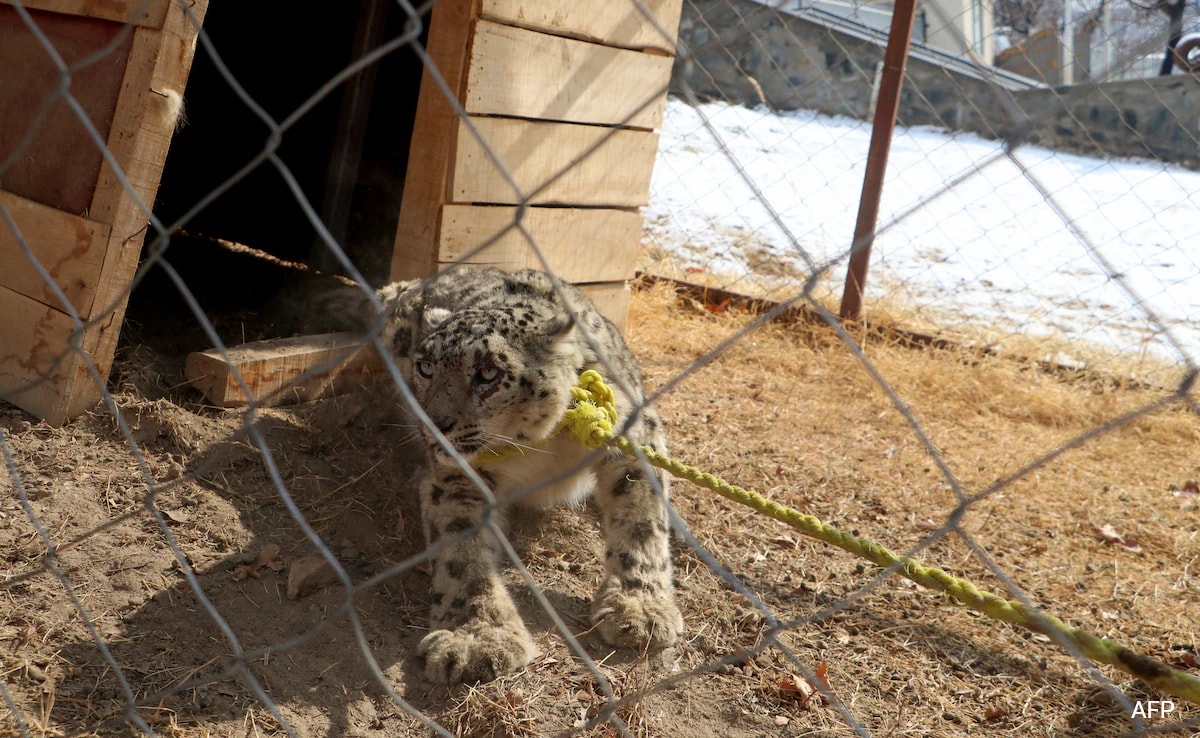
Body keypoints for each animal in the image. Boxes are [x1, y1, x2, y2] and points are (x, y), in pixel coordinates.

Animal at [335, 267, 682, 684]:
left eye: (488, 373)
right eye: (426, 367)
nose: (434, 424)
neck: (540, 446)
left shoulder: (633, 436)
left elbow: (642, 522)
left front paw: (640, 609)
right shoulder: (460, 477)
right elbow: (462, 553)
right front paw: (477, 640)